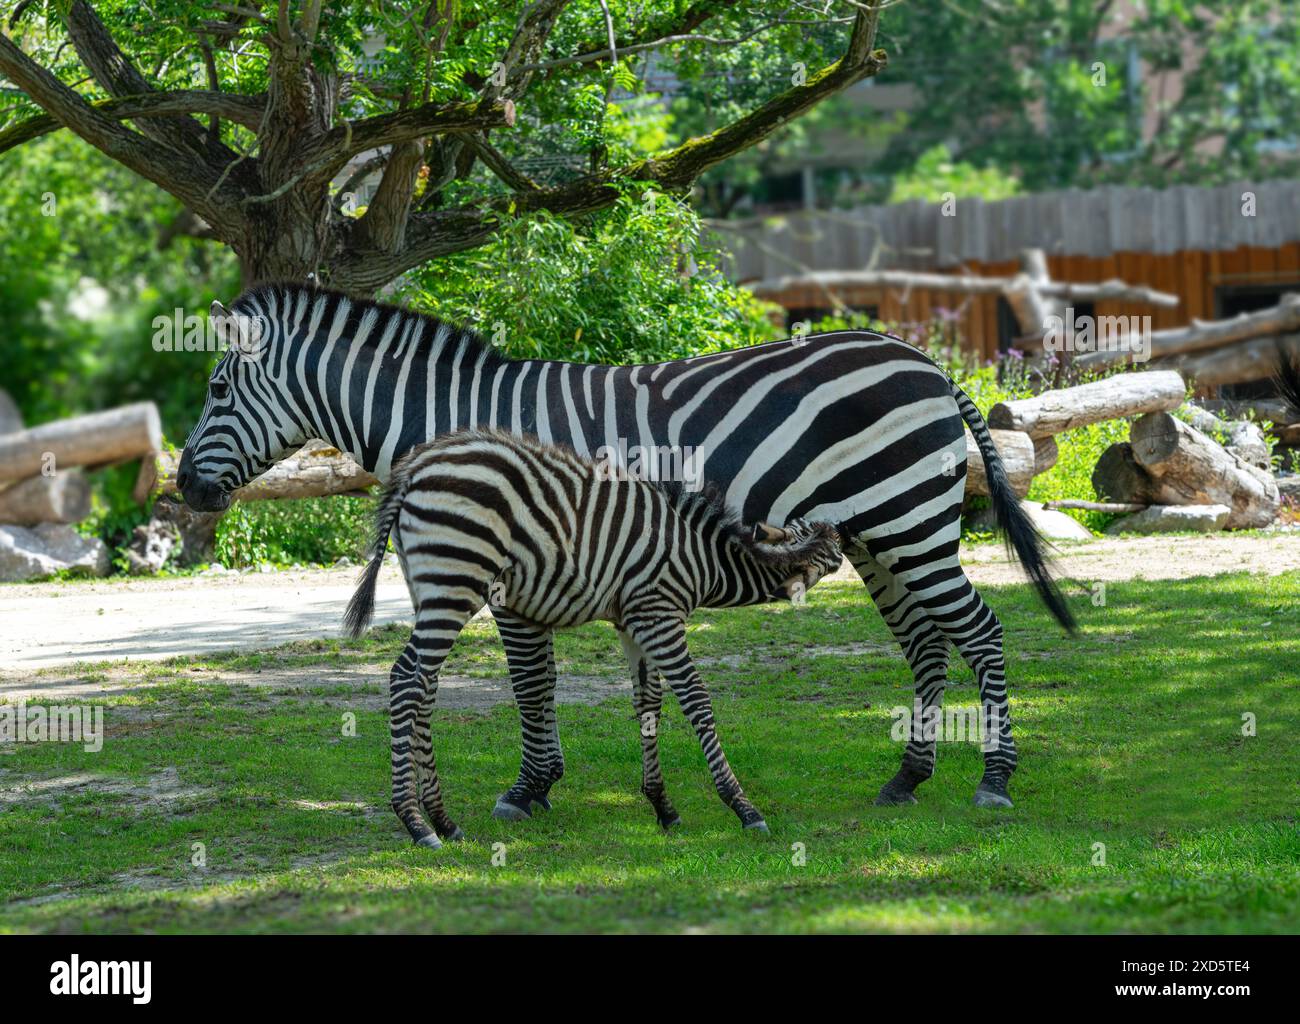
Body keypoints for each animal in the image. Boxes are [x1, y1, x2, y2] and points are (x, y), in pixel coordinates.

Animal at [342, 429, 844, 846]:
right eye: (832, 547)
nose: (846, 535)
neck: (703, 560)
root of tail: (415, 467)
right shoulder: (660, 615)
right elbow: (696, 700)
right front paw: (743, 808)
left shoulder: (634, 622)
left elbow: (648, 705)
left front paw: (662, 806)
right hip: (455, 582)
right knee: (407, 681)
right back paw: (416, 823)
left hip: (428, 588)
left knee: (422, 685)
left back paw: (443, 820)